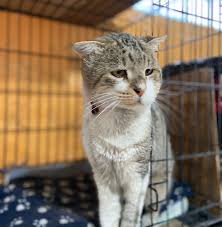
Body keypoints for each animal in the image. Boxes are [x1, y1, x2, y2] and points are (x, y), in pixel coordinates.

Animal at [73, 32, 174, 227]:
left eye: (148, 71)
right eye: (119, 73)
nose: (140, 89)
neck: (119, 125)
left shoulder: (138, 172)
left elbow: (130, 212)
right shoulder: (103, 172)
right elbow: (109, 211)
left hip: (159, 181)